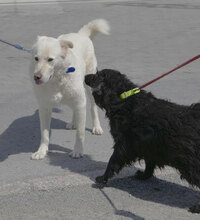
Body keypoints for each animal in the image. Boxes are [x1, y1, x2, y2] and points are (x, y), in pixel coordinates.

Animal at [30, 18, 109, 159]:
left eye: (50, 59)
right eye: (36, 58)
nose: (36, 77)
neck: (57, 80)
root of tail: (81, 34)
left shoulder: (80, 103)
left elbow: (80, 133)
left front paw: (78, 150)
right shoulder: (44, 107)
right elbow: (44, 134)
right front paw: (41, 151)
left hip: (89, 87)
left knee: (93, 107)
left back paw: (96, 127)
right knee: (74, 110)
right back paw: (73, 123)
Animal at [85, 69, 200, 213]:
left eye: (96, 75)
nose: (85, 76)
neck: (124, 99)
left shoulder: (124, 145)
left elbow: (113, 161)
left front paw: (103, 178)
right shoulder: (148, 146)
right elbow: (149, 163)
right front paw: (145, 175)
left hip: (191, 164)